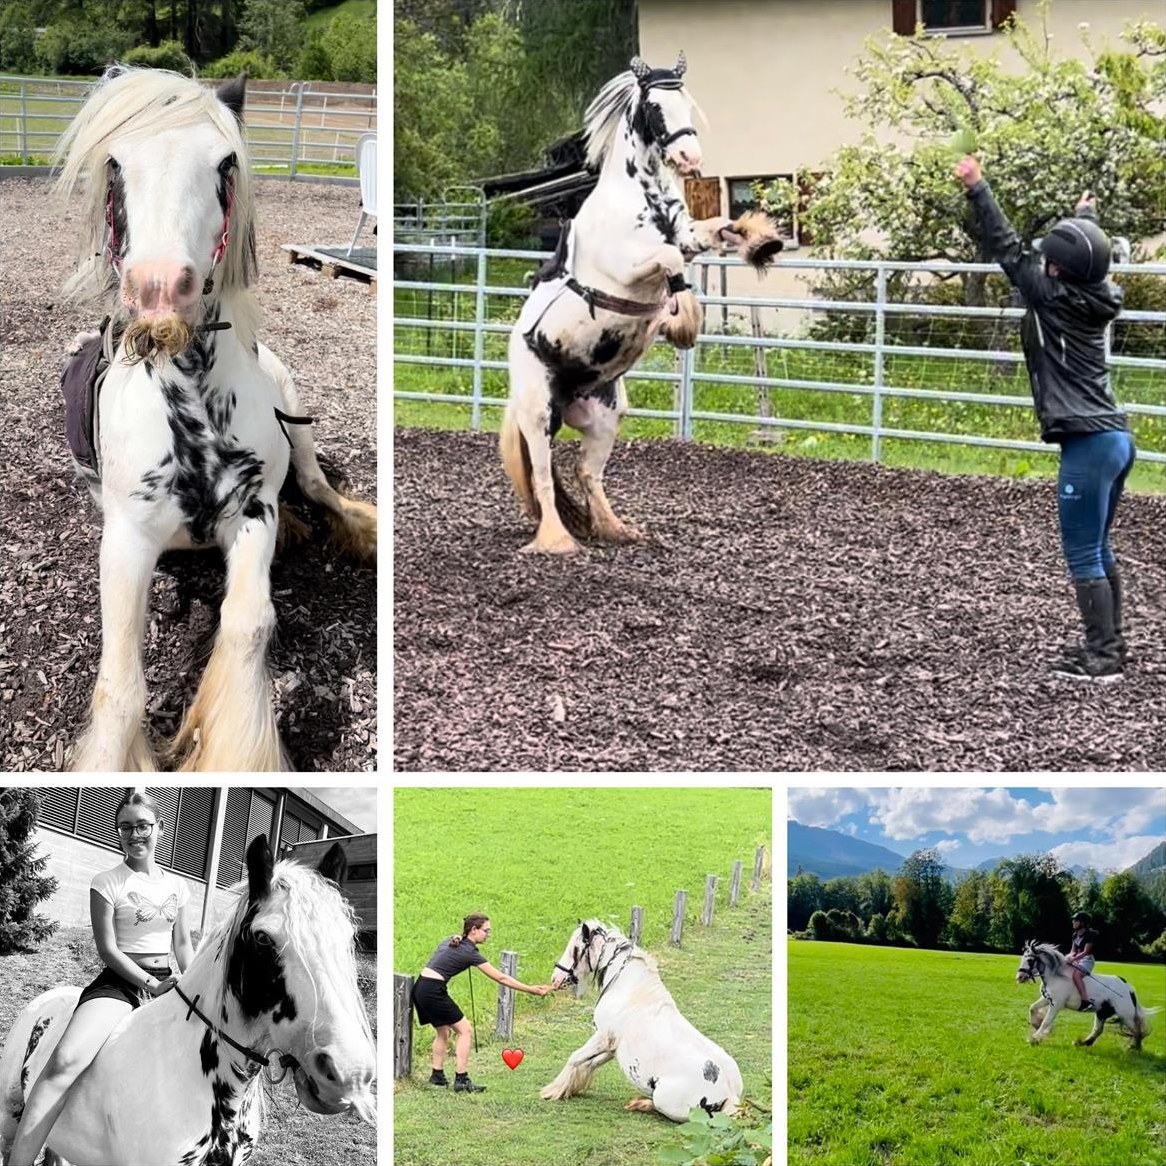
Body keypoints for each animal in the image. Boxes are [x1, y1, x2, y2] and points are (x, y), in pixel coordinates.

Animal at [53, 66, 377, 771]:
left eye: (226, 161)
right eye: (115, 161)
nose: (159, 289)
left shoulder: (253, 511)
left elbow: (249, 624)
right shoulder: (127, 541)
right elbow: (120, 690)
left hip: (299, 423)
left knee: (316, 489)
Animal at [500, 52, 780, 555]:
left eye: (685, 100)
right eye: (654, 106)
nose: (690, 158)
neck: (643, 193)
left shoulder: (688, 235)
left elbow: (717, 228)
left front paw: (760, 241)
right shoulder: (628, 265)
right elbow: (669, 258)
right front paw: (682, 316)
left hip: (604, 415)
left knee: (585, 472)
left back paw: (616, 529)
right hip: (538, 411)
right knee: (544, 476)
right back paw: (557, 541)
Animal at [542, 920, 742, 1122]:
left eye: (575, 949)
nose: (555, 978)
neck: (629, 990)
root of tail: (730, 1094)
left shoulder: (602, 1037)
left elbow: (575, 1058)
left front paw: (552, 1091)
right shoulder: (612, 1047)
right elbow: (590, 1063)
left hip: (665, 1100)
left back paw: (640, 1104)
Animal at [1015, 940, 1154, 1049]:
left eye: (1030, 960)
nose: (1019, 977)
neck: (1056, 976)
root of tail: (1129, 989)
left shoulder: (1056, 1004)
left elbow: (1046, 1021)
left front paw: (1034, 1038)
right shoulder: (1046, 999)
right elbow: (1032, 1008)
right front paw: (1036, 1025)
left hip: (1125, 1015)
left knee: (1136, 1030)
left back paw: (1134, 1048)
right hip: (1102, 1012)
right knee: (1098, 1030)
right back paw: (1083, 1043)